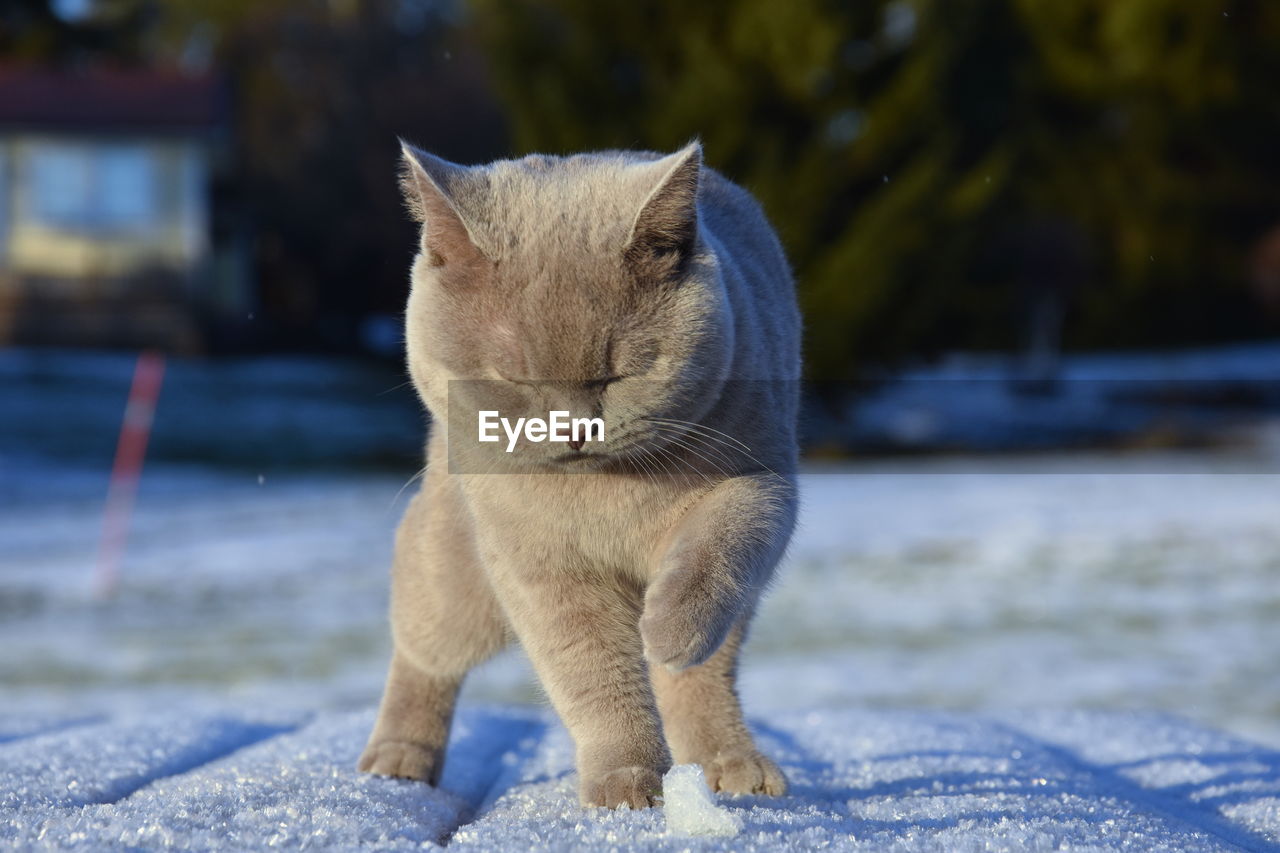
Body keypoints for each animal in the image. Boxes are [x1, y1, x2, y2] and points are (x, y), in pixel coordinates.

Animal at [360, 139, 798, 804]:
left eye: (619, 373)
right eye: (515, 377)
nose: (573, 429)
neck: (609, 493)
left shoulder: (762, 480)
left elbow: (717, 549)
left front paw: (668, 630)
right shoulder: (539, 563)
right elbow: (593, 671)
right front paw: (626, 779)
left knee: (704, 674)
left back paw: (727, 759)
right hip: (454, 568)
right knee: (423, 651)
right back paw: (397, 760)